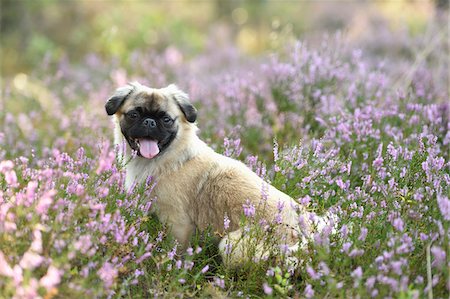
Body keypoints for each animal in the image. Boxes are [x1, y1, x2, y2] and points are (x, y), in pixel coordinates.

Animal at [106, 82, 312, 268]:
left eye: (166, 119)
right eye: (134, 115)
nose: (149, 121)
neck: (164, 160)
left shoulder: (178, 223)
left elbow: (175, 251)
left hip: (230, 245)